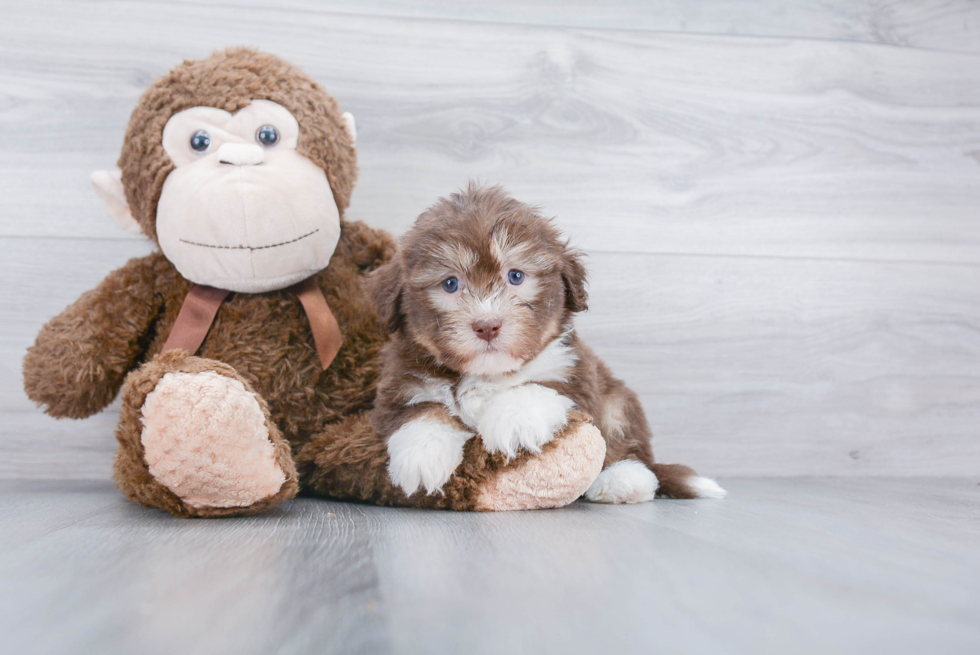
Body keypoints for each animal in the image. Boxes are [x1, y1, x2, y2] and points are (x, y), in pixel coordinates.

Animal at [372, 184, 724, 502]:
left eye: (515, 276)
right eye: (450, 284)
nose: (487, 325)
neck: (488, 374)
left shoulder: (574, 373)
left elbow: (537, 388)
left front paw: (513, 421)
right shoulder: (401, 382)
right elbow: (421, 410)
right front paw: (423, 456)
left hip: (618, 403)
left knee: (623, 445)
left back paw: (622, 480)